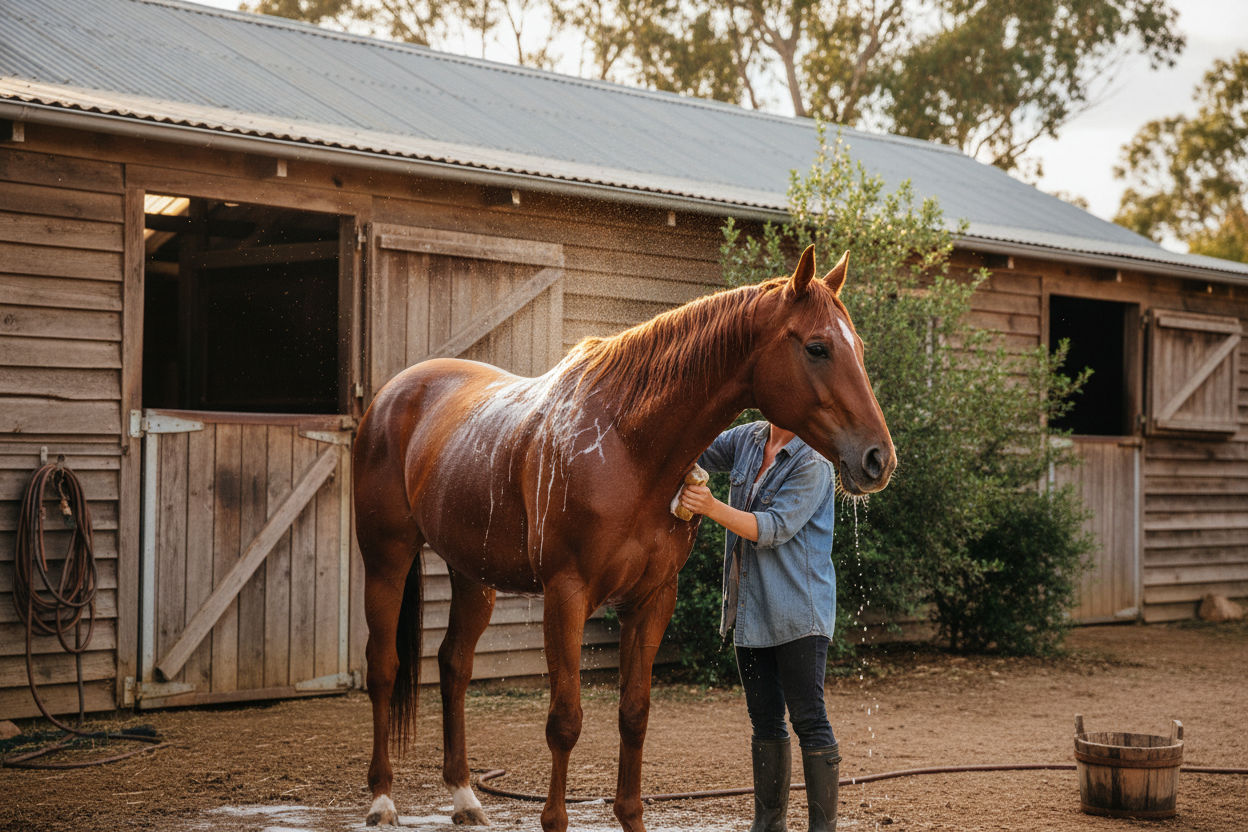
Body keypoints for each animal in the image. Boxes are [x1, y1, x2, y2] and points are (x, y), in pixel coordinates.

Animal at [352, 245, 895, 830]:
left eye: (860, 348)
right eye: (817, 347)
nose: (878, 459)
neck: (628, 446)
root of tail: (391, 395)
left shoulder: (652, 599)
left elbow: (634, 713)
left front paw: (631, 816)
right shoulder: (566, 596)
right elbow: (565, 719)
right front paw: (554, 820)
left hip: (472, 573)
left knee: (454, 666)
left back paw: (464, 796)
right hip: (386, 559)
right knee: (383, 668)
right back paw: (382, 800)